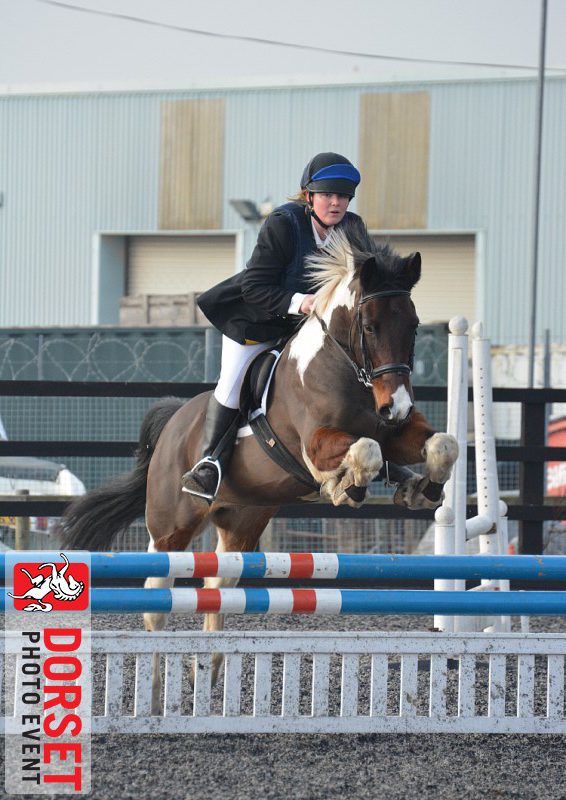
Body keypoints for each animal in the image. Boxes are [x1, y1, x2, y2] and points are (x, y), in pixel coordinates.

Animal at [60, 223, 462, 708]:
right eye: (369, 326)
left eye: (414, 325)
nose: (397, 407)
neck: (345, 367)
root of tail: (174, 421)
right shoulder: (316, 443)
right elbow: (365, 451)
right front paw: (345, 486)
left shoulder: (398, 433)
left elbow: (442, 445)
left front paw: (422, 488)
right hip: (171, 526)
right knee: (157, 600)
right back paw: (155, 696)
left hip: (242, 522)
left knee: (217, 590)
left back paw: (207, 674)